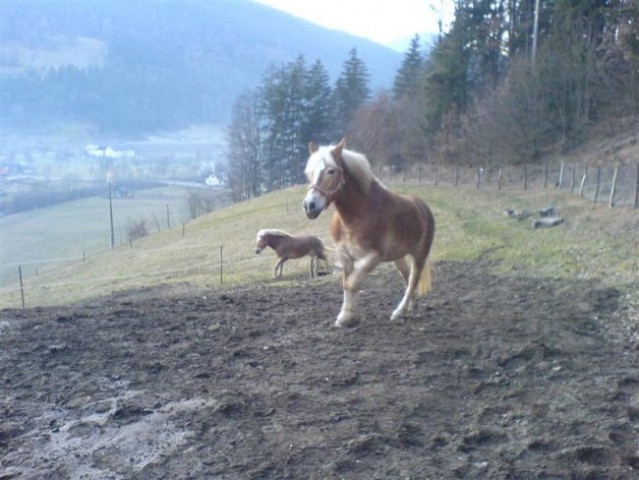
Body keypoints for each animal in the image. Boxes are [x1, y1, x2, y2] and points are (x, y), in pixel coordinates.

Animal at [302, 137, 436, 328]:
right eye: (309, 173)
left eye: (331, 171)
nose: (309, 206)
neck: (357, 215)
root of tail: (423, 207)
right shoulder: (344, 255)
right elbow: (346, 284)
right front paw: (347, 316)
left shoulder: (372, 257)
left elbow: (352, 283)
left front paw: (346, 317)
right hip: (398, 257)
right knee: (407, 277)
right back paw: (411, 306)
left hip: (419, 254)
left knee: (413, 280)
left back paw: (399, 312)